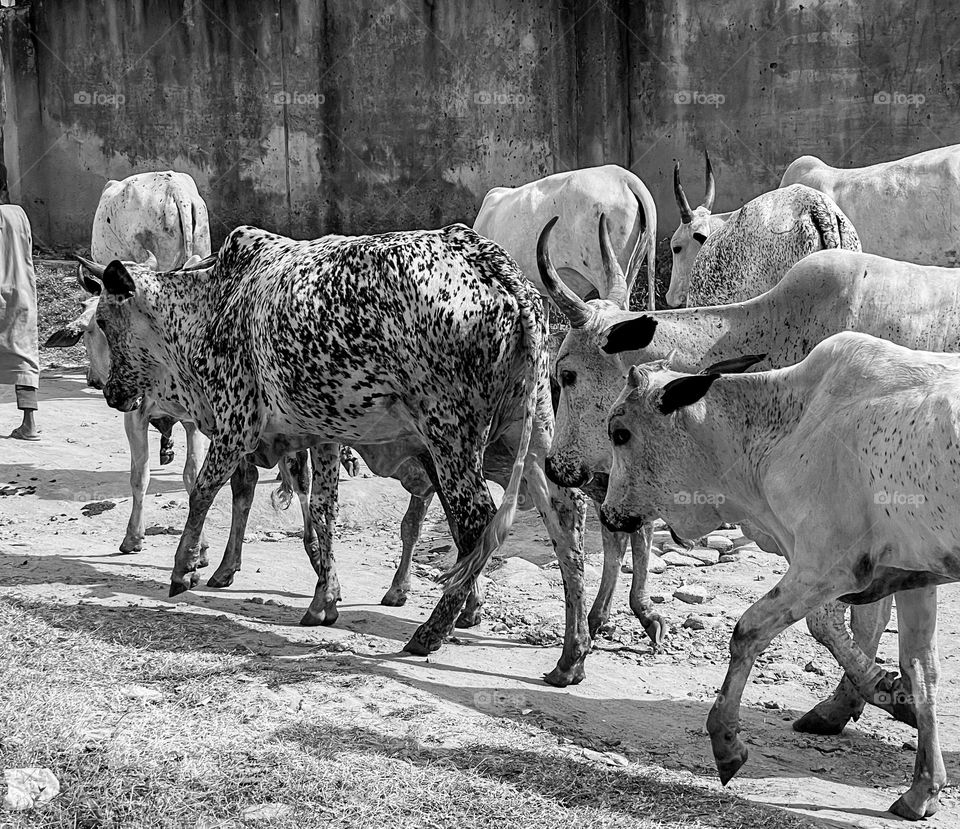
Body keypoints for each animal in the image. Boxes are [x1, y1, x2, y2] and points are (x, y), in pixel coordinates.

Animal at [88, 222, 591, 664]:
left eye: (105, 320)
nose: (110, 392)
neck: (215, 300)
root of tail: (495, 265)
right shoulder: (322, 437)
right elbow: (321, 515)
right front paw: (323, 600)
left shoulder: (236, 421)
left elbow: (202, 493)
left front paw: (183, 568)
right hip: (532, 430)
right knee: (566, 517)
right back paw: (571, 655)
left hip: (451, 435)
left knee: (474, 523)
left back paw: (429, 633)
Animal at [600, 331, 960, 820]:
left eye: (621, 434)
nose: (608, 514)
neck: (793, 424)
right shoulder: (915, 575)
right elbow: (921, 672)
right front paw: (923, 788)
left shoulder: (828, 566)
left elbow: (748, 631)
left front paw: (726, 743)